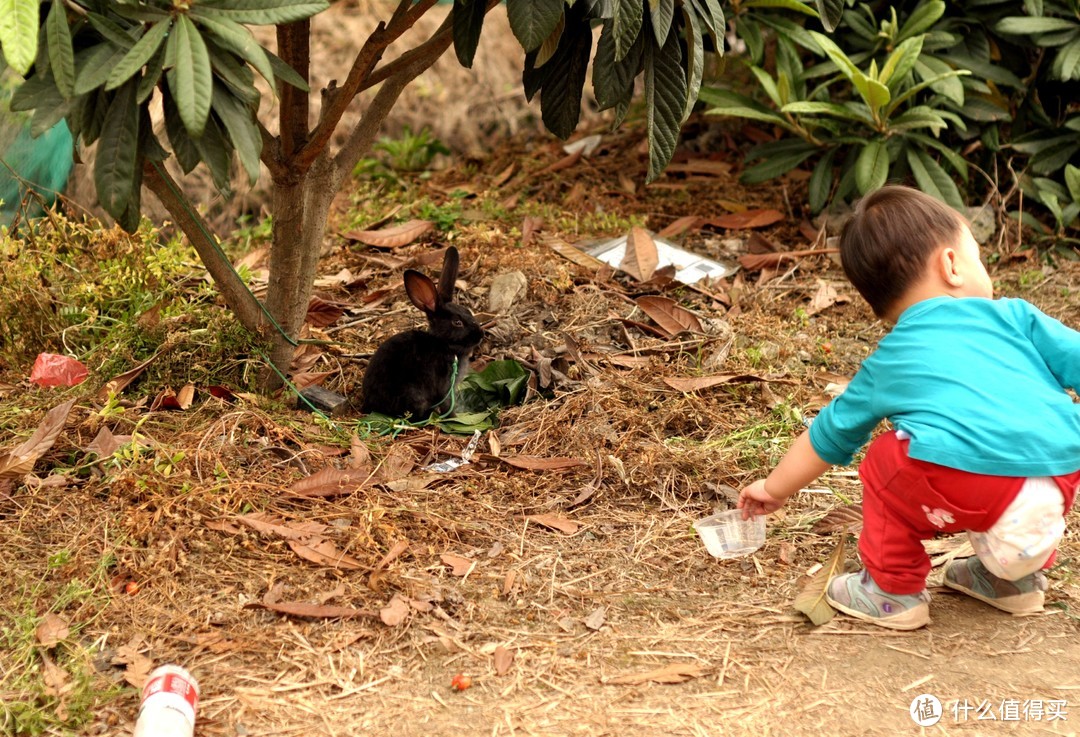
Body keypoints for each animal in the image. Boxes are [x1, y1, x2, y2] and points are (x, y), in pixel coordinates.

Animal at [360, 246, 483, 419]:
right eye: (457, 322)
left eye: (468, 312)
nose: (480, 335)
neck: (443, 345)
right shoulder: (445, 388)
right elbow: (447, 405)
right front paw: (454, 418)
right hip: (414, 396)